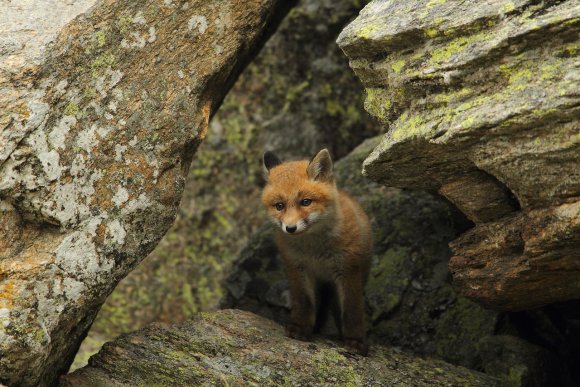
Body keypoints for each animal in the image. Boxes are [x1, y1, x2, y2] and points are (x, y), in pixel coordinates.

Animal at [262, 150, 372, 356]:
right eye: (279, 205)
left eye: (306, 202)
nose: (290, 228)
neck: (316, 252)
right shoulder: (298, 268)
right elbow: (304, 303)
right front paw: (300, 328)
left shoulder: (348, 270)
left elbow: (352, 311)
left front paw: (355, 341)